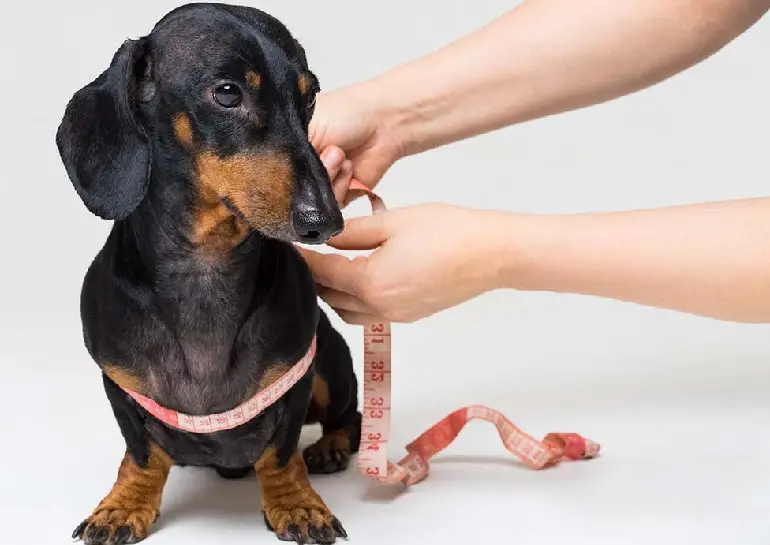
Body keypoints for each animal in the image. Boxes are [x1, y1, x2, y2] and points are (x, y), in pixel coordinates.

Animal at [57, 4, 364, 544]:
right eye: (227, 93)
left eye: (308, 96)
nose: (326, 220)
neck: (206, 265)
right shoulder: (119, 386)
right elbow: (141, 453)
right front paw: (124, 504)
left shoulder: (298, 375)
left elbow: (280, 453)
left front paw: (296, 503)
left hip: (332, 364)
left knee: (352, 417)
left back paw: (331, 447)